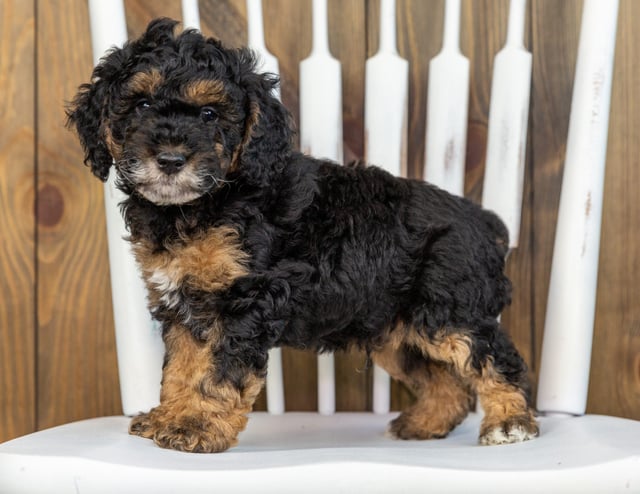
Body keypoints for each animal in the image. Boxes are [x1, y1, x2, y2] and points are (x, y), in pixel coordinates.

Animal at [67, 18, 536, 452]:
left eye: (209, 114)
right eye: (141, 104)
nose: (169, 160)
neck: (208, 200)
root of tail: (483, 220)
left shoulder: (244, 301)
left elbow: (219, 370)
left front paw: (195, 425)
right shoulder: (185, 305)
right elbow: (182, 366)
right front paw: (169, 416)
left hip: (449, 310)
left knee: (494, 356)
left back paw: (510, 422)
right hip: (397, 328)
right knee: (445, 381)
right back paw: (425, 424)